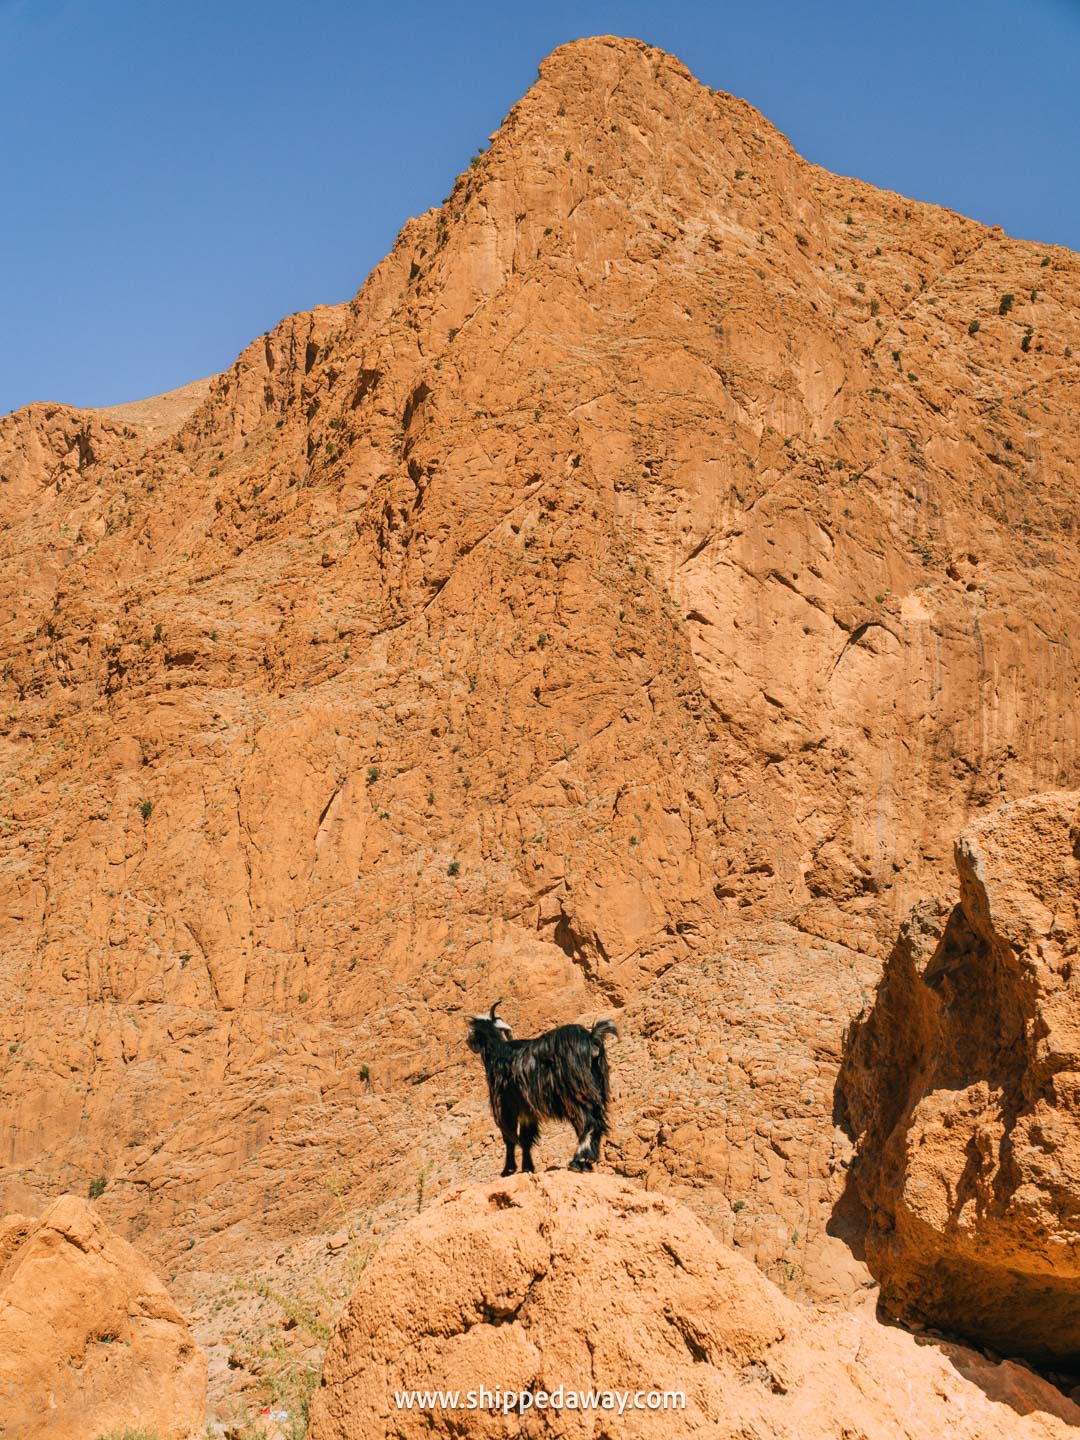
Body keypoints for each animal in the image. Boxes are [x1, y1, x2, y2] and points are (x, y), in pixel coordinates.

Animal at [466, 1001, 617, 1175]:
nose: (468, 1043)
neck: (498, 1053)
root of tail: (592, 1039)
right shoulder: (527, 1109)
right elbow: (526, 1138)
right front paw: (527, 1167)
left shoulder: (503, 1105)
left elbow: (509, 1138)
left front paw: (508, 1170)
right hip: (597, 1088)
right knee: (598, 1121)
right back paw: (588, 1162)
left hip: (574, 1093)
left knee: (587, 1122)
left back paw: (578, 1161)